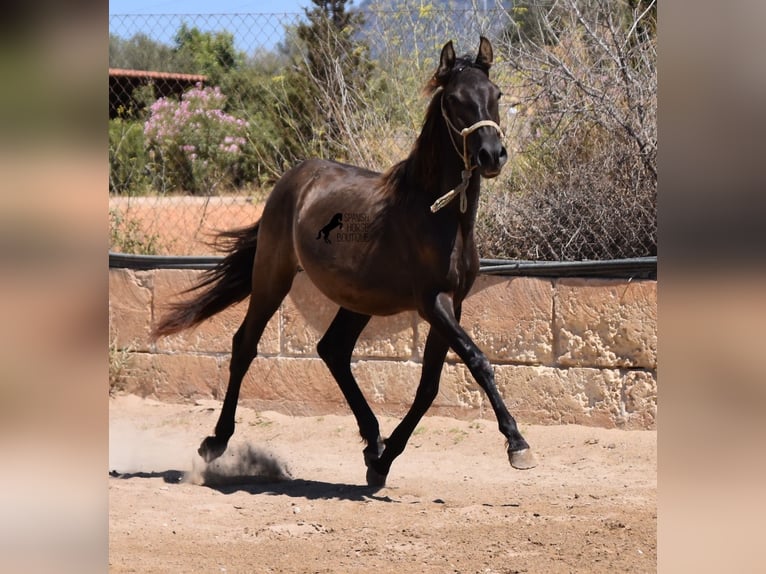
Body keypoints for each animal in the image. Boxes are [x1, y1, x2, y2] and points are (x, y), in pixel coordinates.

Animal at [153, 37, 540, 486]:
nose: (492, 154)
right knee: (245, 345)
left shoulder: (453, 304)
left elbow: (428, 386)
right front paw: (518, 444)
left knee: (333, 350)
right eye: (455, 99)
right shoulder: (433, 303)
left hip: (358, 299)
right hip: (272, 276)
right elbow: (478, 362)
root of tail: (295, 177)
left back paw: (372, 443)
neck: (436, 214)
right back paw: (215, 442)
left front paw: (383, 462)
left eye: (496, 95)